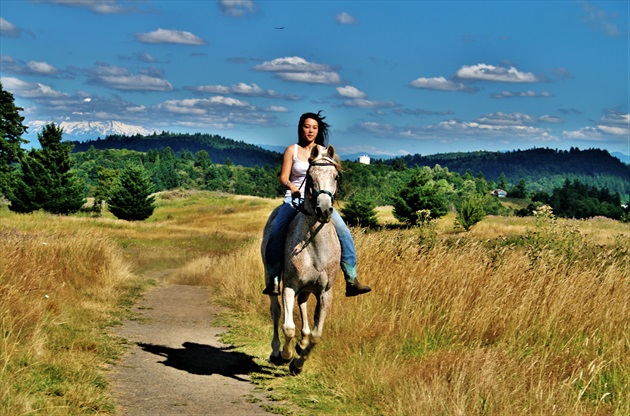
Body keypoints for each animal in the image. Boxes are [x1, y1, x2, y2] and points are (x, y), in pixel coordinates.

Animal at [260, 145, 340, 374]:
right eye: (310, 177)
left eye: (336, 176)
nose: (324, 209)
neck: (313, 244)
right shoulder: (290, 286)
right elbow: (288, 327)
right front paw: (286, 356)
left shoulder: (325, 293)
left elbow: (316, 335)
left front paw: (298, 363)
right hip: (270, 277)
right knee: (276, 311)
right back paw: (276, 352)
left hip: (306, 289)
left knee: (303, 307)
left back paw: (300, 344)